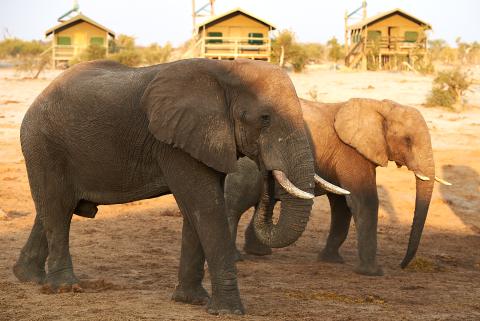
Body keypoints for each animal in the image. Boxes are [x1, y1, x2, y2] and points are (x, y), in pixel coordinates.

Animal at [13, 58, 344, 314]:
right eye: (264, 118)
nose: (266, 174)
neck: (226, 71)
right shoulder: (173, 141)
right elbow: (205, 205)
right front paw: (228, 311)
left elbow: (195, 210)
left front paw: (191, 301)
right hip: (44, 144)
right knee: (57, 208)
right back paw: (65, 287)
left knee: (52, 209)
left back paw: (28, 278)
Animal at [225, 97, 450, 276]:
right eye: (407, 140)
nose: (402, 266)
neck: (378, 106)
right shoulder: (350, 153)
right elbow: (364, 201)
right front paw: (373, 273)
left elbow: (342, 205)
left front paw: (330, 260)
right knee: (237, 205)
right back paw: (236, 258)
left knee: (263, 202)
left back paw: (258, 253)